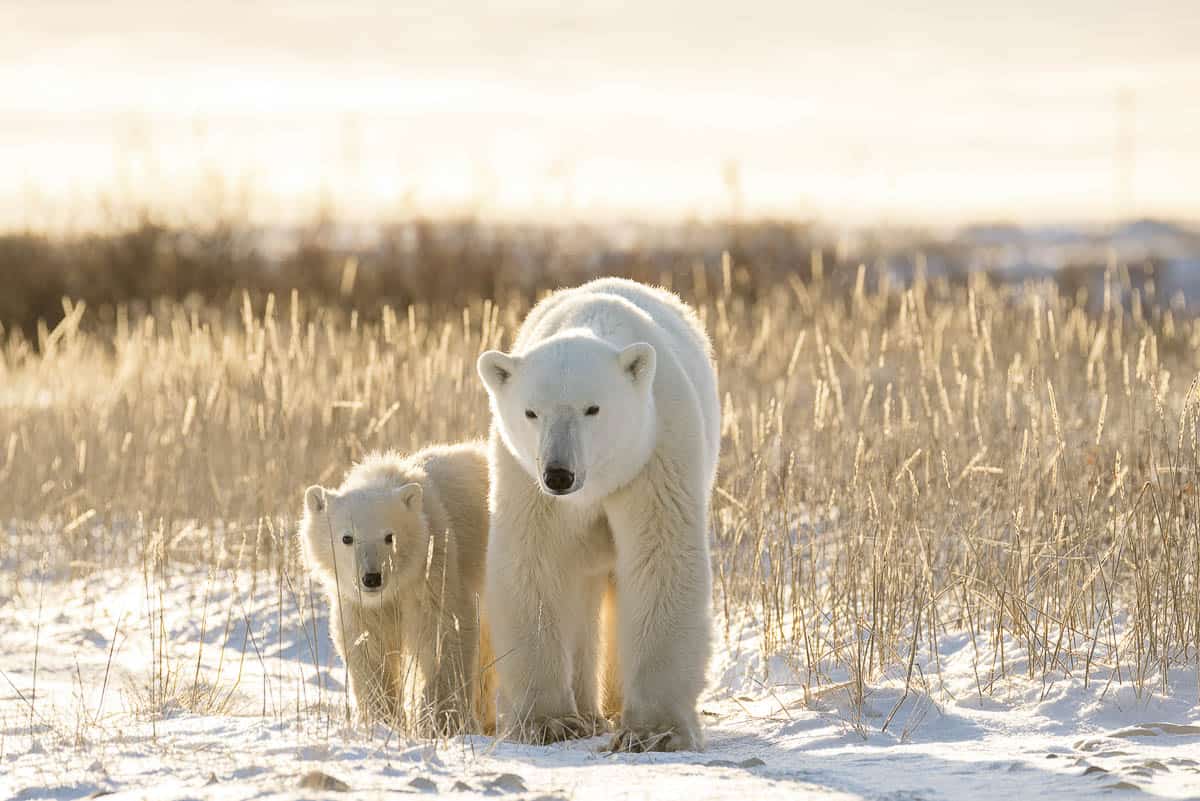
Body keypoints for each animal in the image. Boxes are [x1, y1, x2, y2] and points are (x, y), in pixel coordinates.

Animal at [477, 275, 720, 753]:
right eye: (531, 412)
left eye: (593, 408)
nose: (559, 473)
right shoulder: (525, 479)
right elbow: (535, 563)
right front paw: (547, 722)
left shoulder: (653, 456)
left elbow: (660, 559)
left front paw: (653, 731)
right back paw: (588, 713)